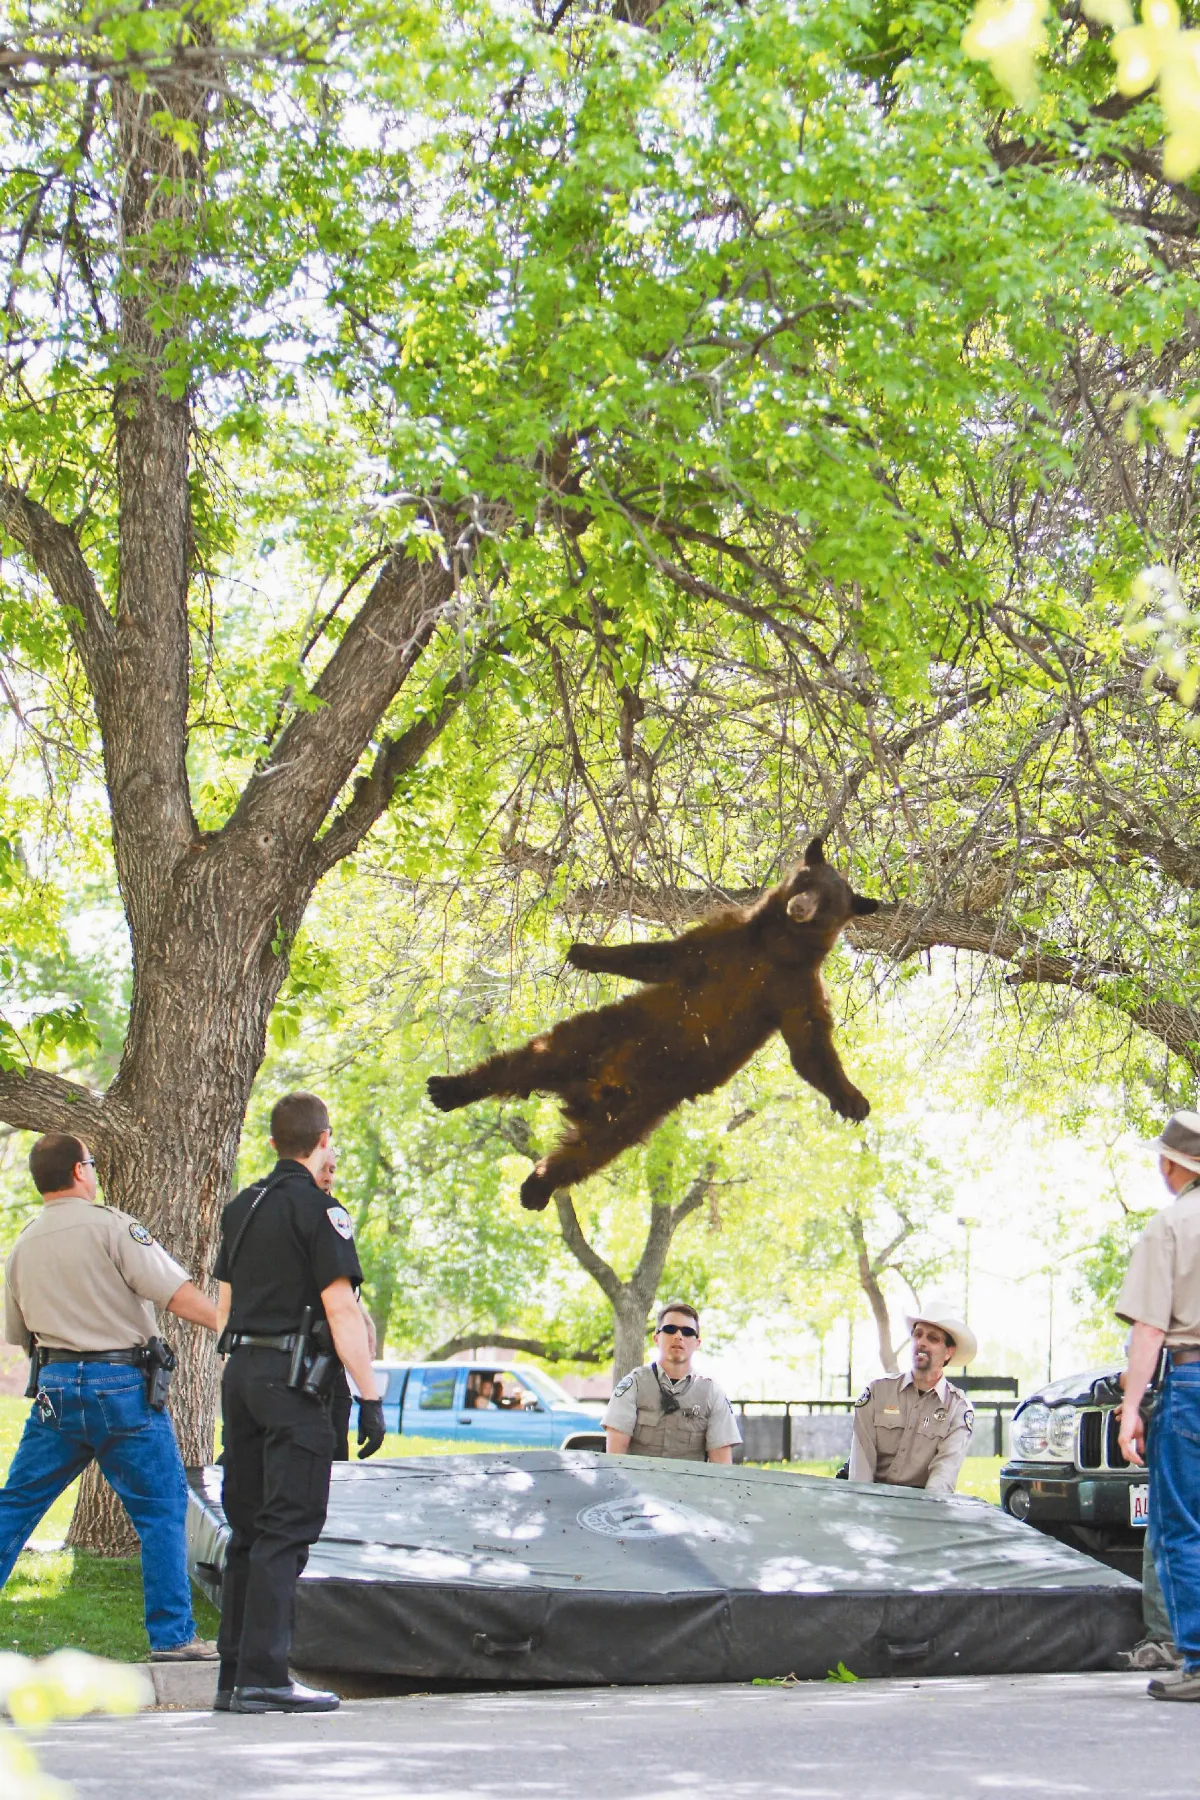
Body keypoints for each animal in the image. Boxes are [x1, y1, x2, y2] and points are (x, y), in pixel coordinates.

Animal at [426, 839, 880, 1210]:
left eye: (828, 902)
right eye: (806, 880)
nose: (800, 906)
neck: (776, 947)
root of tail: (589, 1090)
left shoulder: (795, 988)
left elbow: (809, 1046)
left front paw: (853, 1100)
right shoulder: (726, 940)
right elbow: (663, 957)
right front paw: (585, 952)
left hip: (639, 1112)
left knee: (587, 1153)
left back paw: (536, 1187)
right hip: (594, 1035)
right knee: (522, 1062)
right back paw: (450, 1088)